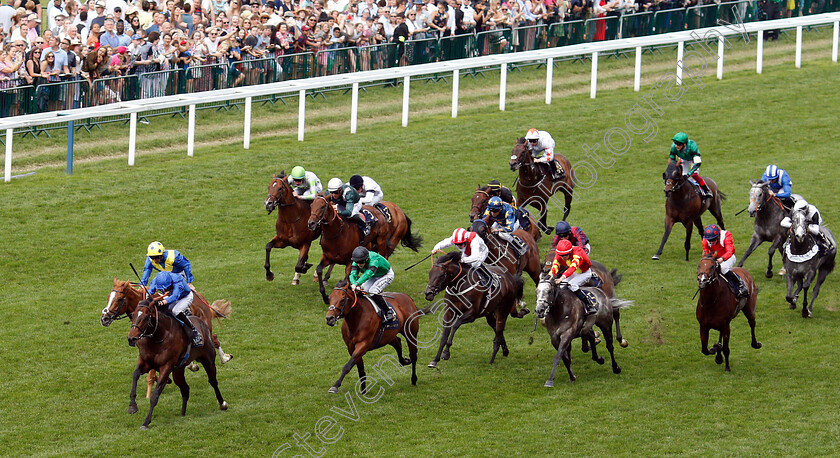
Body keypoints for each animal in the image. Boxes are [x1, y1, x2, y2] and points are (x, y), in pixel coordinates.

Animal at [102, 278, 233, 398]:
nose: (104, 318)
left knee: (214, 339)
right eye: (108, 297)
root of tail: (200, 297)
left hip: (205, 326)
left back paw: (224, 358)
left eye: (119, 299)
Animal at [126, 300, 228, 430]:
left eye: (145, 317)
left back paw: (222, 403)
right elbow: (135, 375)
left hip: (208, 360)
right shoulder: (145, 363)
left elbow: (155, 396)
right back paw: (183, 414)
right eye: (132, 315)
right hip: (178, 371)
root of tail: (202, 323)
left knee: (213, 381)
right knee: (185, 389)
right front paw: (132, 406)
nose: (131, 338)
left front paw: (146, 422)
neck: (158, 337)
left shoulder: (166, 367)